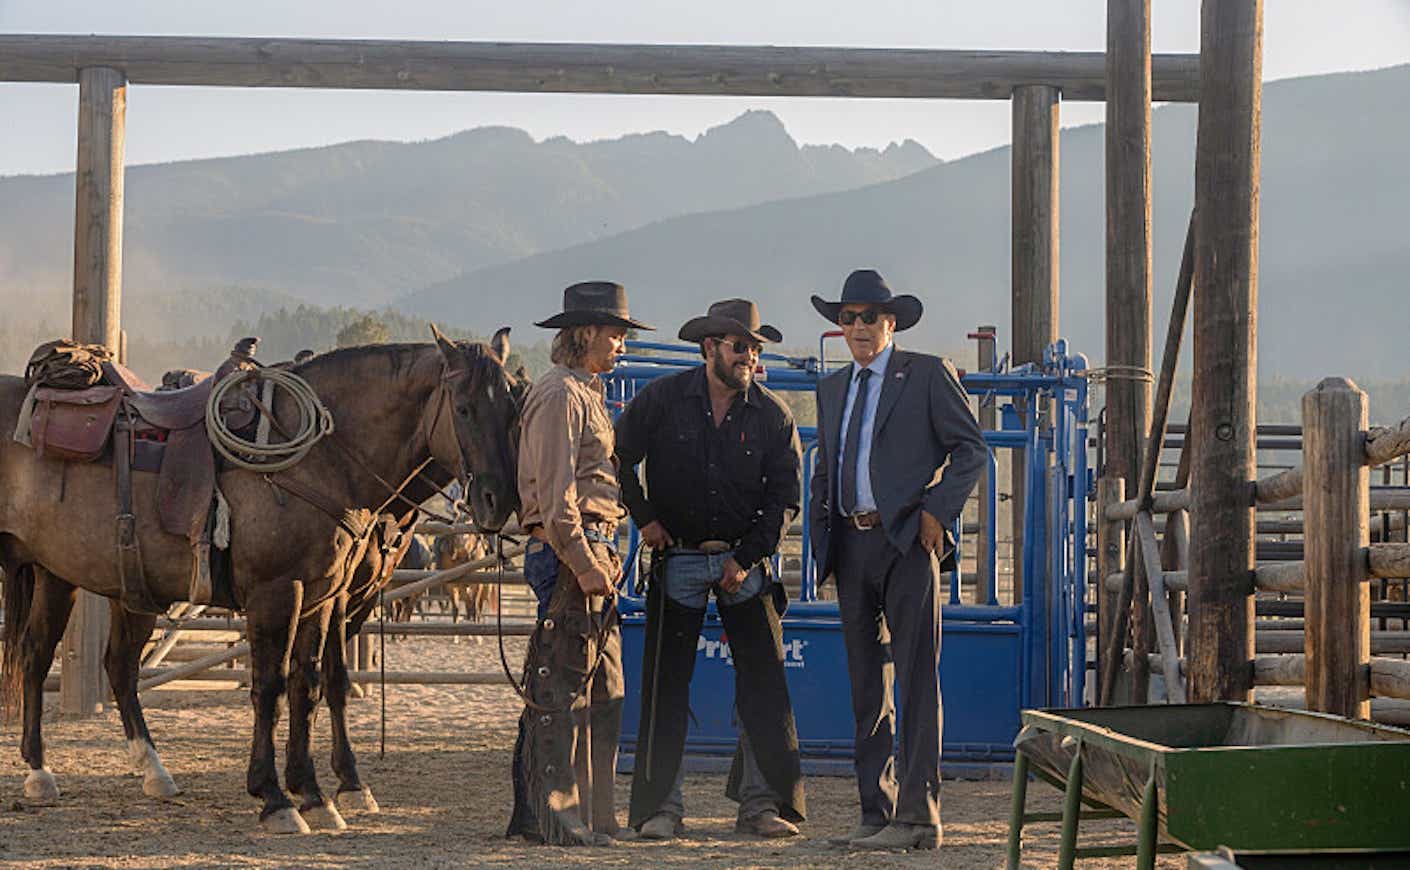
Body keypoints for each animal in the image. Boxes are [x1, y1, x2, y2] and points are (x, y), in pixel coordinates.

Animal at [0, 324, 524, 829]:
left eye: (513, 407)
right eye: (464, 408)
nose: (499, 500)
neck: (320, 459)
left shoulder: (323, 596)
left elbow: (309, 683)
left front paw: (314, 792)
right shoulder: (278, 593)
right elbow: (270, 685)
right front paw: (276, 797)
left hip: (77, 578)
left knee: (95, 663)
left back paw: (147, 771)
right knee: (41, 658)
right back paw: (40, 774)